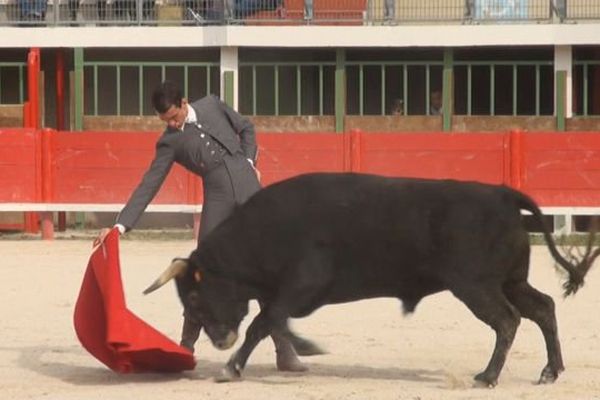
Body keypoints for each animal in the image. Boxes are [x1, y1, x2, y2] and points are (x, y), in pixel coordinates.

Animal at [145, 173, 600, 386]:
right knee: (543, 308)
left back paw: (487, 377)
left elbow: (263, 322)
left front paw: (232, 366)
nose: (219, 340)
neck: (260, 233)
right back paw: (550, 371)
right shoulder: (285, 294)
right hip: (510, 281)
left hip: (477, 286)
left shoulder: (300, 285)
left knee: (508, 320)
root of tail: (503, 193)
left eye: (196, 299)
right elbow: (270, 323)